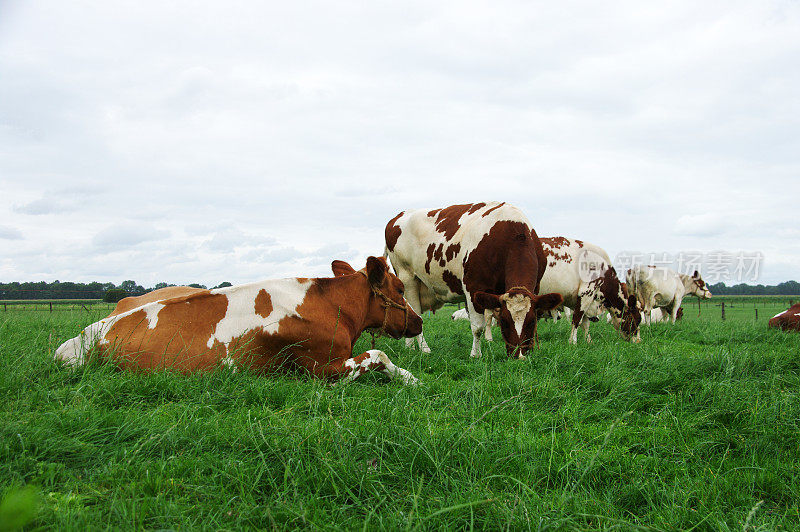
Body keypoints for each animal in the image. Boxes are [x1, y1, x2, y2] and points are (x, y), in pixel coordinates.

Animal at [56, 256, 424, 384]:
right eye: (399, 288)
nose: (419, 321)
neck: (331, 306)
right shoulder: (320, 367)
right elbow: (378, 354)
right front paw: (410, 379)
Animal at [382, 202, 560, 360]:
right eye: (504, 321)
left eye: (531, 321)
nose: (519, 356)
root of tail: (399, 215)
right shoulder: (473, 286)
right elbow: (477, 327)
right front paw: (476, 355)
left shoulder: (535, 287)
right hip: (407, 278)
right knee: (416, 315)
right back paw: (424, 349)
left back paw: (410, 347)